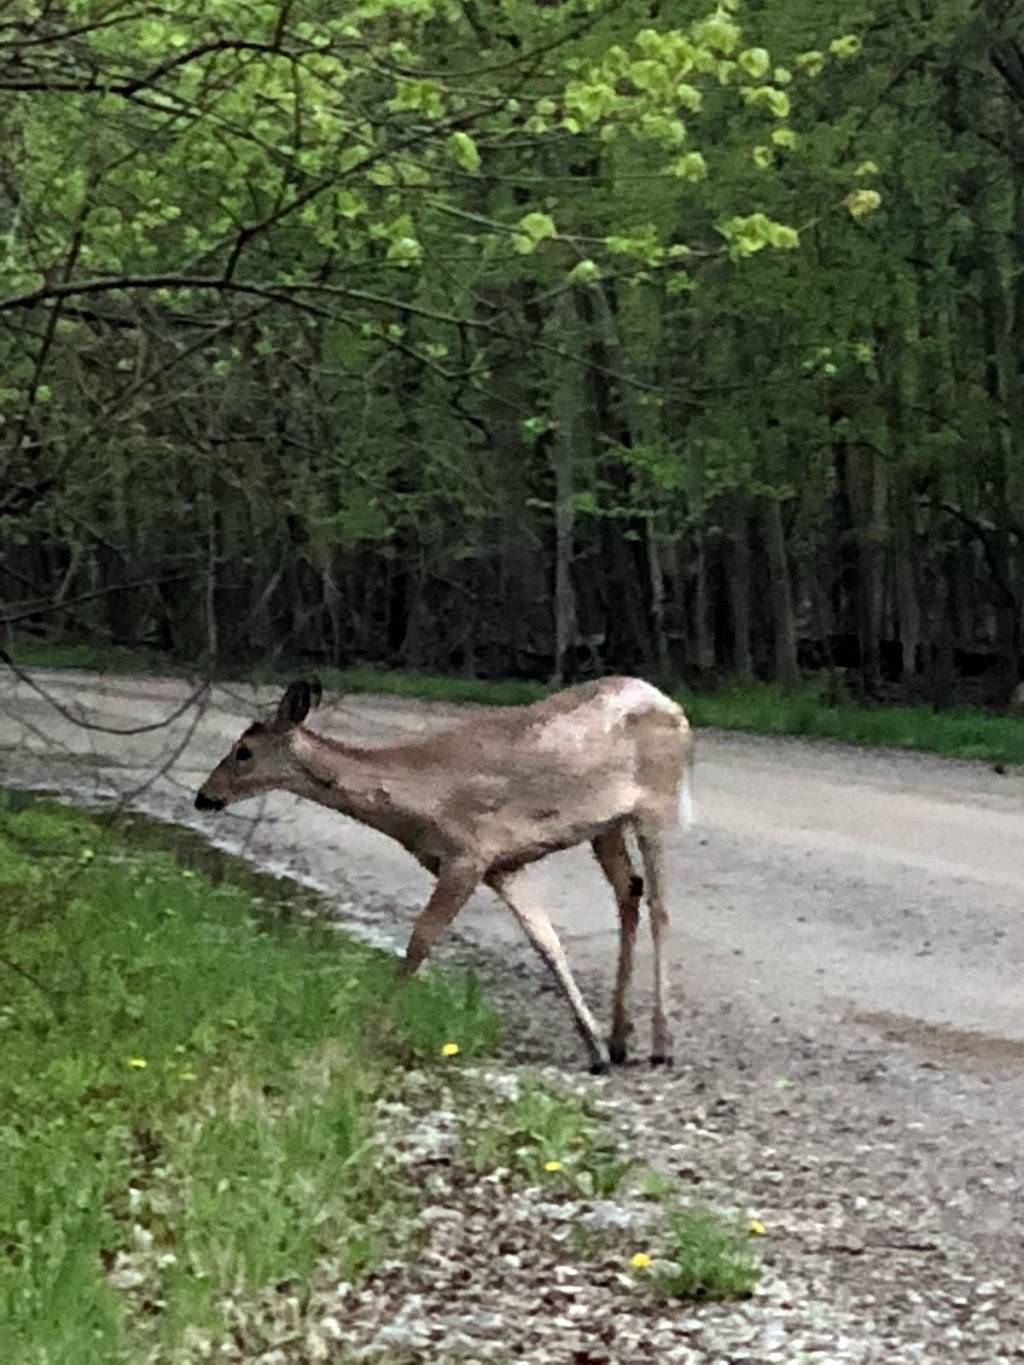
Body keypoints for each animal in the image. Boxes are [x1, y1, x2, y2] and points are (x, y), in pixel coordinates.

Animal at [195, 677, 693, 1070]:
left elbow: (421, 940)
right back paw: (620, 1040)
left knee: (661, 907)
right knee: (629, 891)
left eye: (243, 752)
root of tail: (674, 706)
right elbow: (547, 943)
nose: (203, 796)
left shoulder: (467, 856)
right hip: (605, 826)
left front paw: (373, 1030)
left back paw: (662, 1045)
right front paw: (594, 1049)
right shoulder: (503, 865)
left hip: (656, 803)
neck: (417, 799)